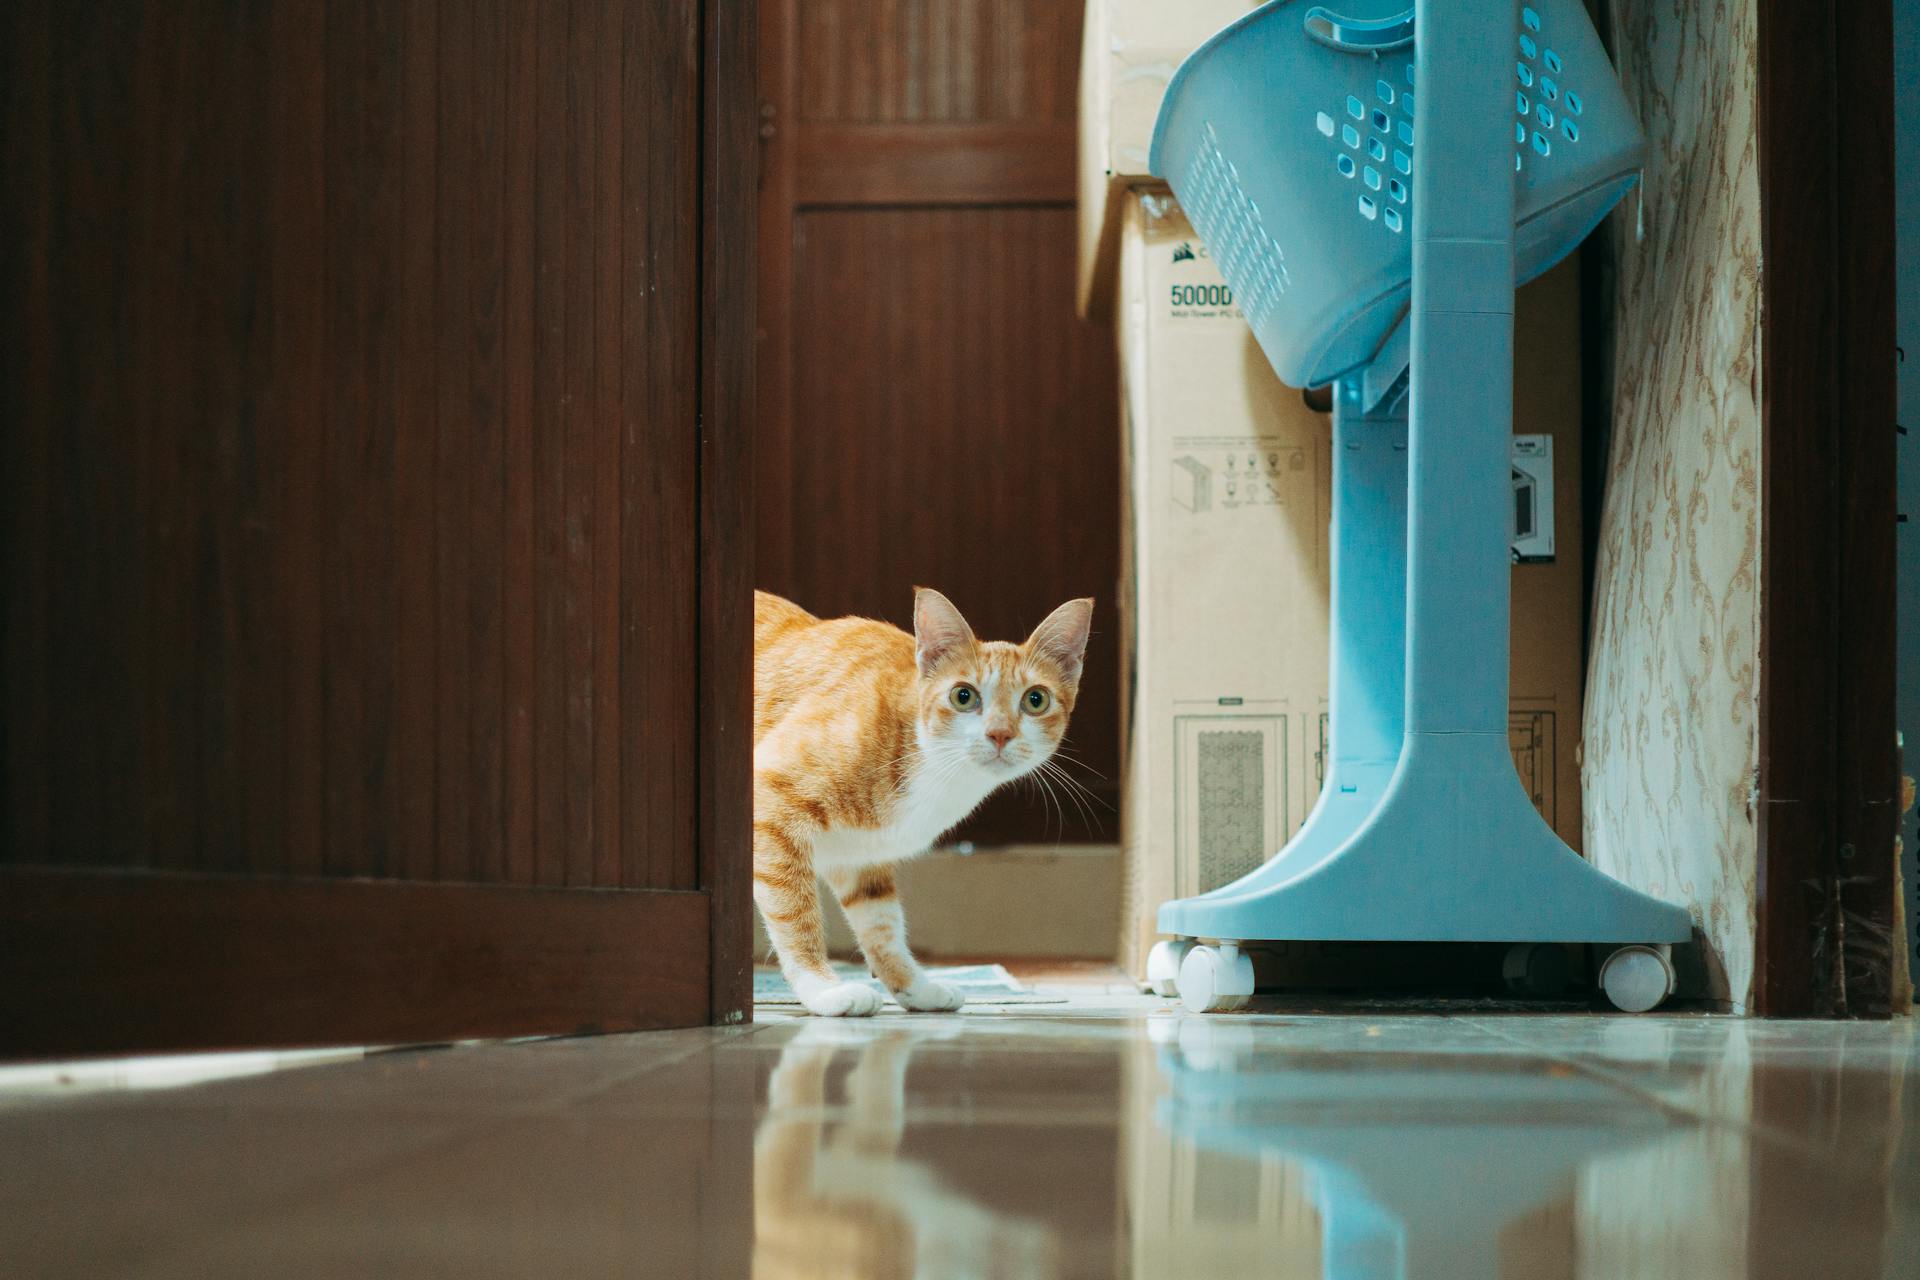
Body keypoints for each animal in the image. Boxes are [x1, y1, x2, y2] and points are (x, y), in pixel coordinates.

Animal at [756, 587, 1105, 1013]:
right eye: (963, 696)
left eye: (1035, 700)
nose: (999, 734)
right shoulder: (771, 802)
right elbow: (795, 914)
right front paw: (822, 988)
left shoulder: (859, 855)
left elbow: (882, 926)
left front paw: (915, 987)